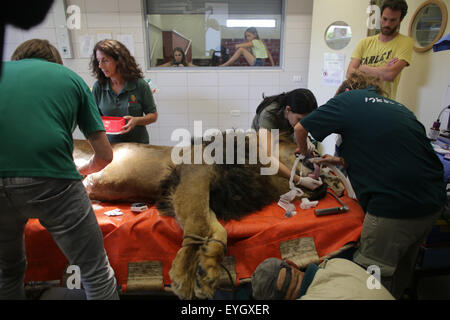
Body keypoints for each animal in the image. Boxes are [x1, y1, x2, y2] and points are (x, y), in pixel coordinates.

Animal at [74, 131, 342, 300]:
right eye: (304, 149)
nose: (327, 182)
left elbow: (218, 233)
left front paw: (208, 270)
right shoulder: (194, 174)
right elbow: (199, 227)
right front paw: (184, 276)